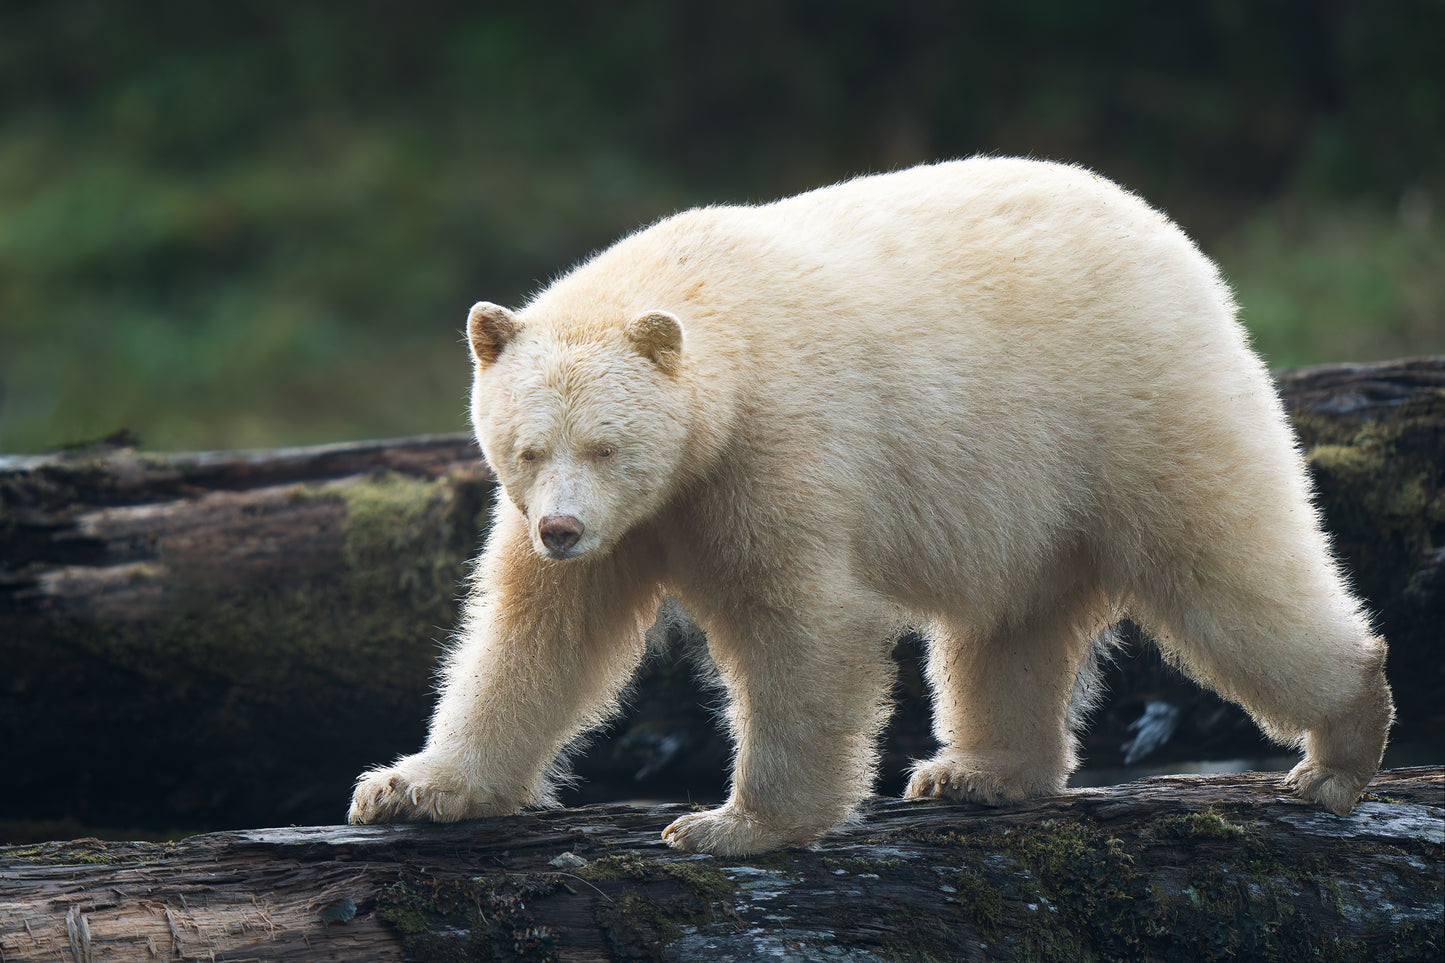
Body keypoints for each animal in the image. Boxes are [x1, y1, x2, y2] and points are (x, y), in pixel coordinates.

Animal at [343, 159, 1392, 856]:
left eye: (607, 444)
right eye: (525, 447)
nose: (561, 528)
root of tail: (1172, 239)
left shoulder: (775, 451)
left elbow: (801, 624)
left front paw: (729, 823)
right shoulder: (625, 518)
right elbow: (537, 633)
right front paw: (408, 787)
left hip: (1134, 406)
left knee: (1220, 564)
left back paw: (1342, 740)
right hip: (1024, 483)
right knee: (1009, 622)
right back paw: (977, 769)